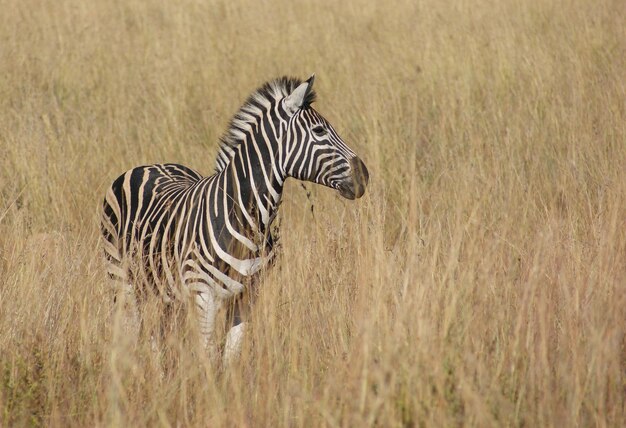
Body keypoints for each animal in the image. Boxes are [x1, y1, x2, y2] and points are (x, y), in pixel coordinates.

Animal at [100, 74, 368, 364]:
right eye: (319, 131)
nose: (364, 176)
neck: (247, 218)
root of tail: (148, 165)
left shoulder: (247, 297)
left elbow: (231, 357)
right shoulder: (203, 295)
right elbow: (207, 357)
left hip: (163, 292)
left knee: (156, 336)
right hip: (122, 280)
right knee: (132, 332)